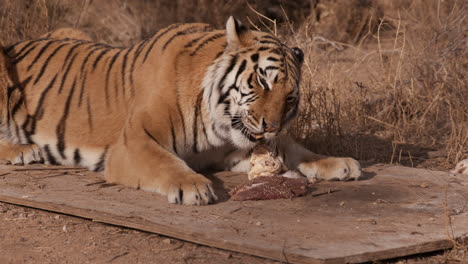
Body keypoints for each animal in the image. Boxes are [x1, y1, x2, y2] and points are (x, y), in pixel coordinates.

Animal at [0, 16, 362, 205]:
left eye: (289, 98)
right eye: (262, 81)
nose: (270, 126)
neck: (218, 123)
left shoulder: (230, 151)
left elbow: (297, 151)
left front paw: (339, 163)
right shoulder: (134, 142)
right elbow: (166, 162)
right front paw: (194, 187)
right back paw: (23, 150)